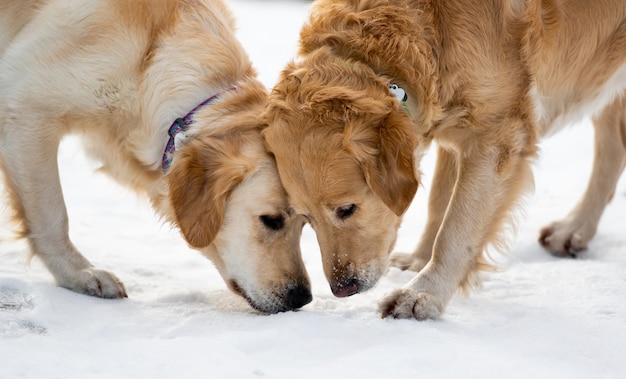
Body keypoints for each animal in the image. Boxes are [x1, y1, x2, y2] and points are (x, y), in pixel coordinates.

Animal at [0, 0, 312, 314]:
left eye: (305, 223)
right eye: (271, 220)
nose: (302, 297)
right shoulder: (26, 107)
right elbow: (53, 215)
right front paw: (79, 274)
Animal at [264, 0, 624, 320]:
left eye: (347, 209)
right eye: (306, 218)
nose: (342, 289)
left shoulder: (498, 136)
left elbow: (456, 227)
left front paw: (422, 294)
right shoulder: (456, 133)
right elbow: (440, 204)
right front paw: (418, 260)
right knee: (612, 147)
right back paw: (574, 229)